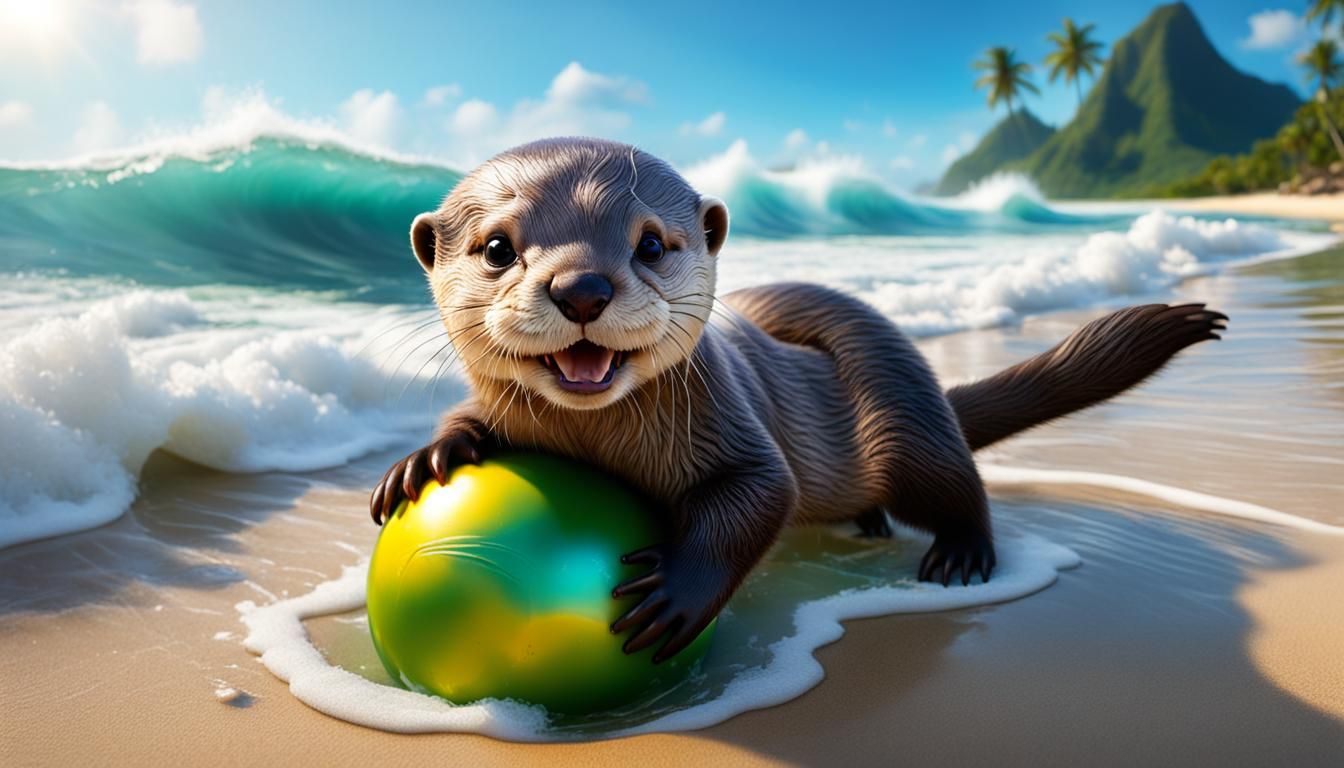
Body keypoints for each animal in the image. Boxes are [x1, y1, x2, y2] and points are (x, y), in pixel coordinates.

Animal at [370, 137, 1226, 662]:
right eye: (496, 247)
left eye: (651, 243)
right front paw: (425, 458)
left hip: (906, 417)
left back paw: (961, 555)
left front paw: (674, 595)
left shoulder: (733, 424)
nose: (582, 286)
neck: (600, 442)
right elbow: (468, 420)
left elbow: (760, 493)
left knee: (958, 484)